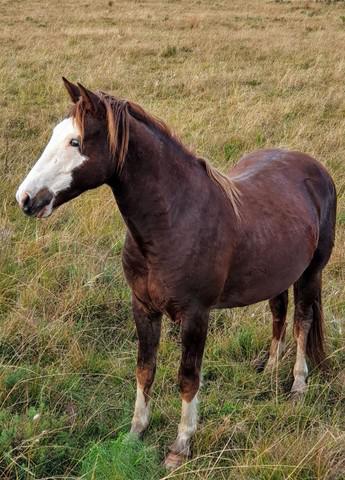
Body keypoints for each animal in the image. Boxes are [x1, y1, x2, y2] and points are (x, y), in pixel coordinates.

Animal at [14, 78, 334, 468]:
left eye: (75, 142)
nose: (25, 198)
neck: (174, 221)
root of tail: (314, 168)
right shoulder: (143, 308)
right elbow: (145, 369)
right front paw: (135, 432)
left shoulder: (196, 316)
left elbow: (188, 377)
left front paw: (180, 446)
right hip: (278, 272)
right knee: (279, 313)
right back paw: (272, 369)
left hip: (311, 272)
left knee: (303, 320)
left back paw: (298, 386)